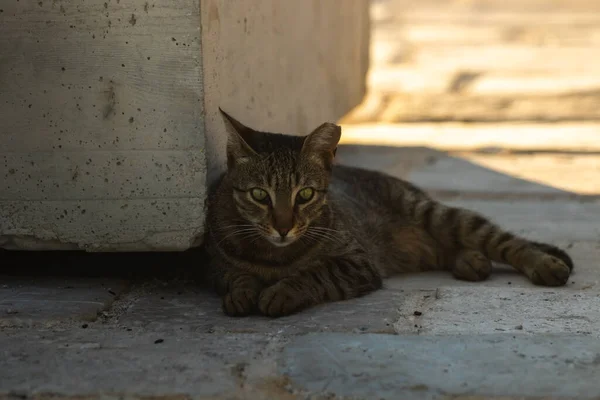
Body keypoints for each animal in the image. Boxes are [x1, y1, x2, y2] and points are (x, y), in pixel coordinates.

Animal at [204, 108, 576, 318]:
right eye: (259, 195)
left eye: (305, 194)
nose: (283, 227)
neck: (275, 255)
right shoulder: (217, 265)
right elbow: (236, 276)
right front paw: (242, 293)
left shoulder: (357, 263)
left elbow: (314, 274)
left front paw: (281, 291)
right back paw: (470, 261)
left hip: (437, 214)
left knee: (505, 241)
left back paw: (543, 264)